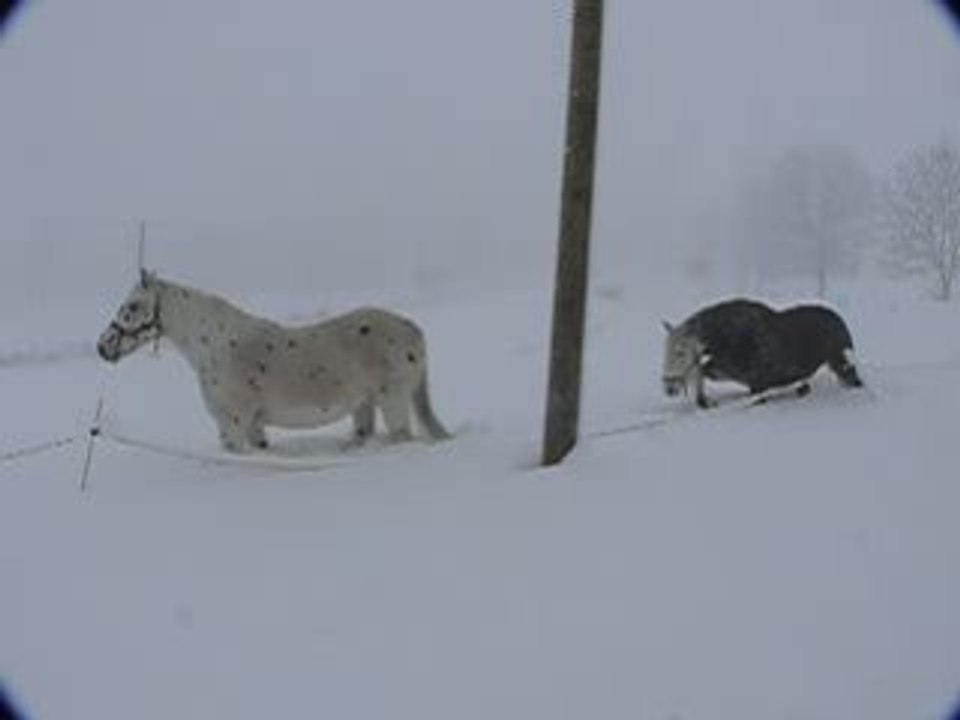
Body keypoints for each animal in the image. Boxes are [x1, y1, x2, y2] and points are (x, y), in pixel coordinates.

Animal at [97, 271, 451, 452]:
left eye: (131, 306)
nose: (103, 347)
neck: (215, 346)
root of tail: (412, 329)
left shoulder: (233, 425)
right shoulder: (254, 426)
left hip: (393, 401)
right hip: (365, 405)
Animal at [661, 298, 864, 409]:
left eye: (681, 353)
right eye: (665, 351)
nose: (669, 387)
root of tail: (841, 321)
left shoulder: (753, 380)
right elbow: (701, 374)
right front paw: (704, 401)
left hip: (843, 365)